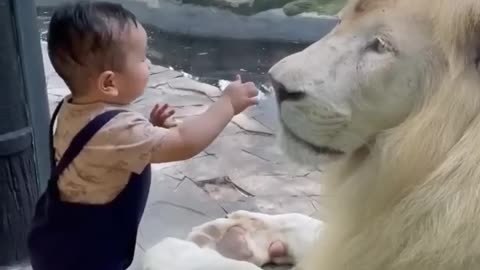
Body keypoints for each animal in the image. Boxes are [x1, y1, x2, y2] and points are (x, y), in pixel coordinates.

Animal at [143, 0, 480, 268]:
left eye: (380, 45)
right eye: (340, 20)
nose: (277, 86)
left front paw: (175, 250)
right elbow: (314, 226)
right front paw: (238, 232)